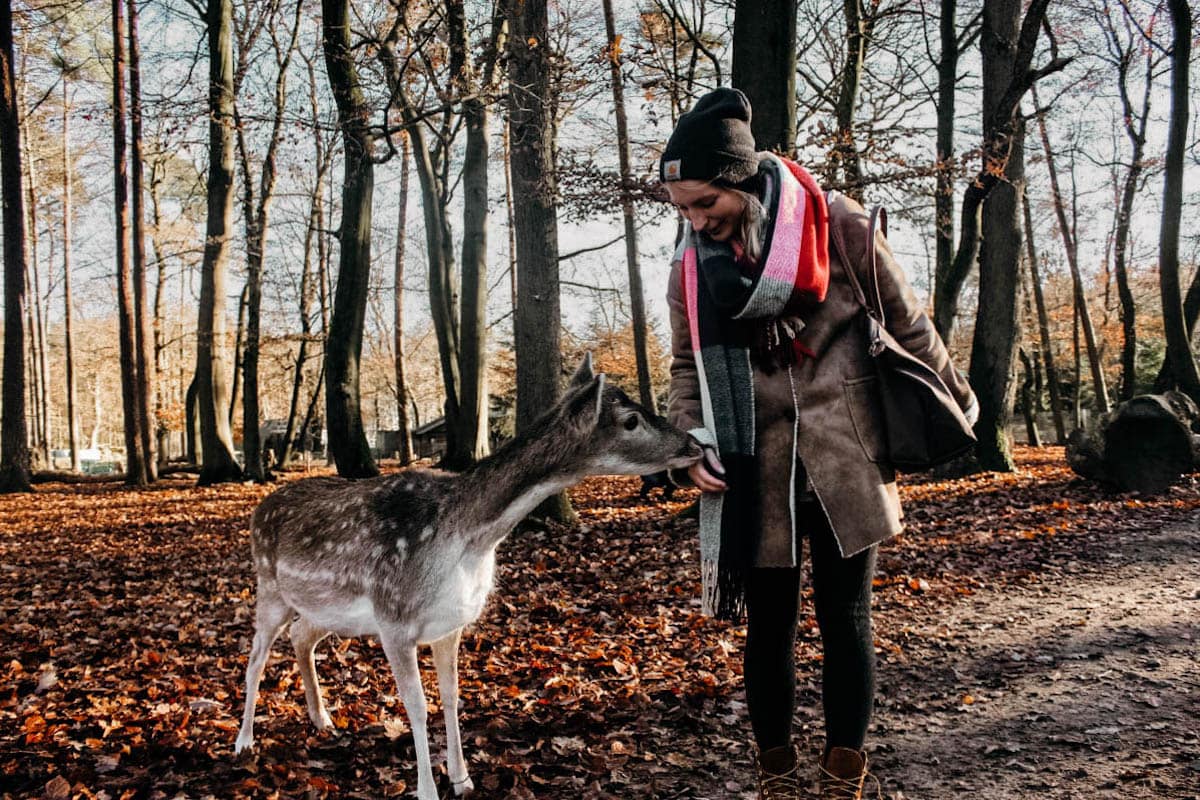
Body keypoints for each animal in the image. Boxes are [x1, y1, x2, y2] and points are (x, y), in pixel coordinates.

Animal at [234, 357, 700, 800]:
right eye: (631, 419)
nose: (695, 444)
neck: (468, 540)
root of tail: (259, 510)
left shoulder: (449, 623)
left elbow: (452, 696)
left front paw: (462, 779)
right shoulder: (394, 618)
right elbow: (417, 705)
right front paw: (427, 790)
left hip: (329, 611)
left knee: (301, 636)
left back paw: (322, 719)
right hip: (270, 586)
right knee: (255, 658)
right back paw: (244, 740)